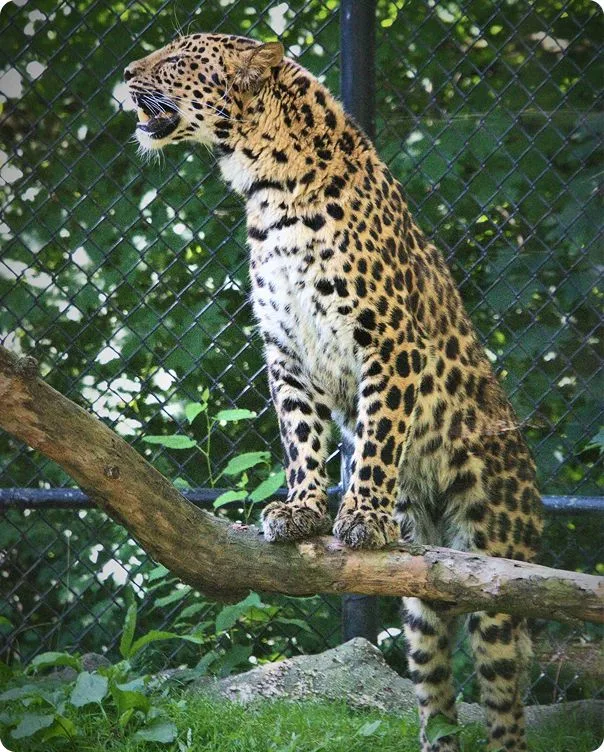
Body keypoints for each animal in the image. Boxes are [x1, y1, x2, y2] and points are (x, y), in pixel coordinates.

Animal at [125, 33, 543, 752]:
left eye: (176, 59)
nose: (125, 73)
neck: (269, 191)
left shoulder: (388, 341)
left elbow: (376, 439)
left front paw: (363, 516)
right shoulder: (286, 352)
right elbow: (301, 439)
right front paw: (301, 511)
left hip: (497, 572)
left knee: (505, 706)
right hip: (422, 609)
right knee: (436, 692)